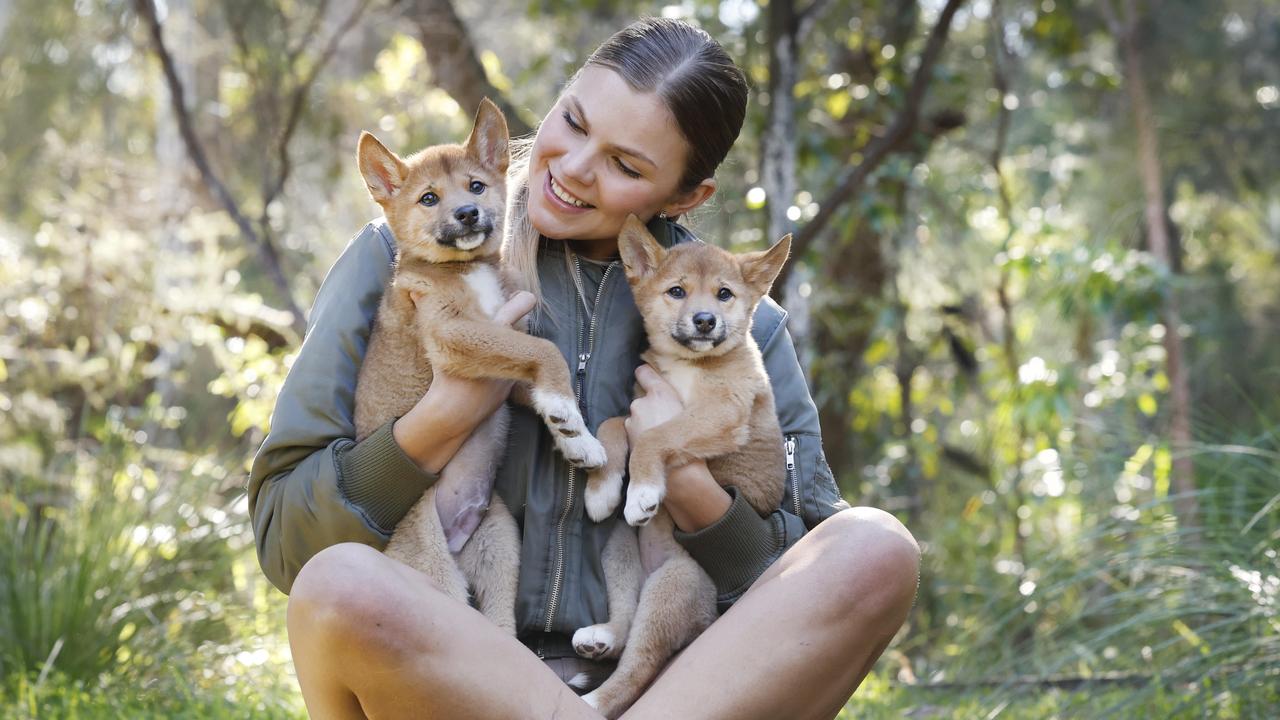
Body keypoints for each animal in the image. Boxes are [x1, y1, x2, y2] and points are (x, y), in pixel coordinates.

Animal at [353, 98, 606, 630]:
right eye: (429, 198)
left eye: (475, 186)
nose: (467, 213)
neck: (468, 270)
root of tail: (454, 537)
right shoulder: (454, 336)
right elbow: (544, 351)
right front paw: (567, 417)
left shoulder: (505, 365)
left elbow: (535, 368)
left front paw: (577, 438)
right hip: (437, 575)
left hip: (501, 547)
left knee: (500, 626)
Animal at [578, 215, 788, 712]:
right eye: (677, 291)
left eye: (724, 294)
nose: (705, 320)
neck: (688, 366)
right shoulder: (637, 403)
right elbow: (613, 426)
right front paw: (603, 488)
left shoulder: (720, 414)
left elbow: (656, 437)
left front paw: (642, 492)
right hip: (619, 552)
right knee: (625, 623)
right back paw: (602, 636)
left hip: (672, 586)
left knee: (637, 668)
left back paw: (594, 702)